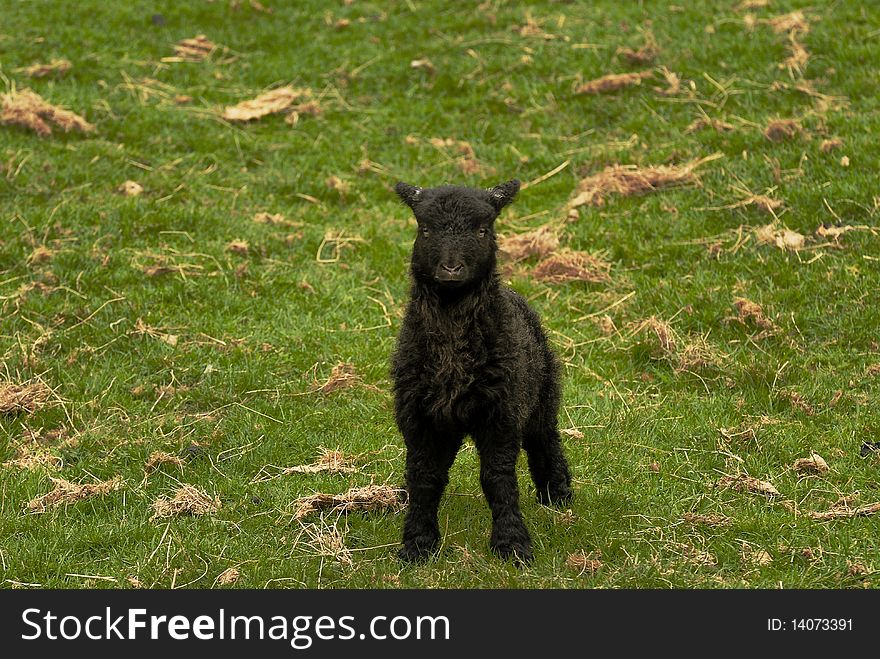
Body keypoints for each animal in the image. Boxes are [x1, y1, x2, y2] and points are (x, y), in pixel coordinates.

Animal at [390, 178, 572, 564]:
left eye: (482, 230)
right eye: (425, 229)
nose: (451, 269)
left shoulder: (501, 414)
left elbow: (497, 478)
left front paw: (512, 544)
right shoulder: (418, 417)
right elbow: (425, 476)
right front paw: (418, 543)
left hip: (540, 394)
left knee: (545, 438)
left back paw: (557, 494)